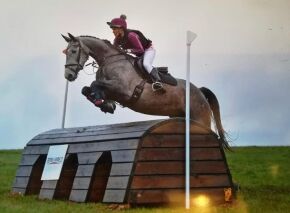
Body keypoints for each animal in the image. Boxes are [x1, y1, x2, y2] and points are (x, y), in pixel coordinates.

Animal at [62, 33, 230, 150]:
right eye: (66, 52)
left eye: (74, 51)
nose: (68, 76)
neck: (109, 60)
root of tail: (199, 91)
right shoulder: (112, 89)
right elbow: (87, 89)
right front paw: (105, 104)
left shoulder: (124, 90)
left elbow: (94, 83)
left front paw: (101, 101)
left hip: (200, 118)